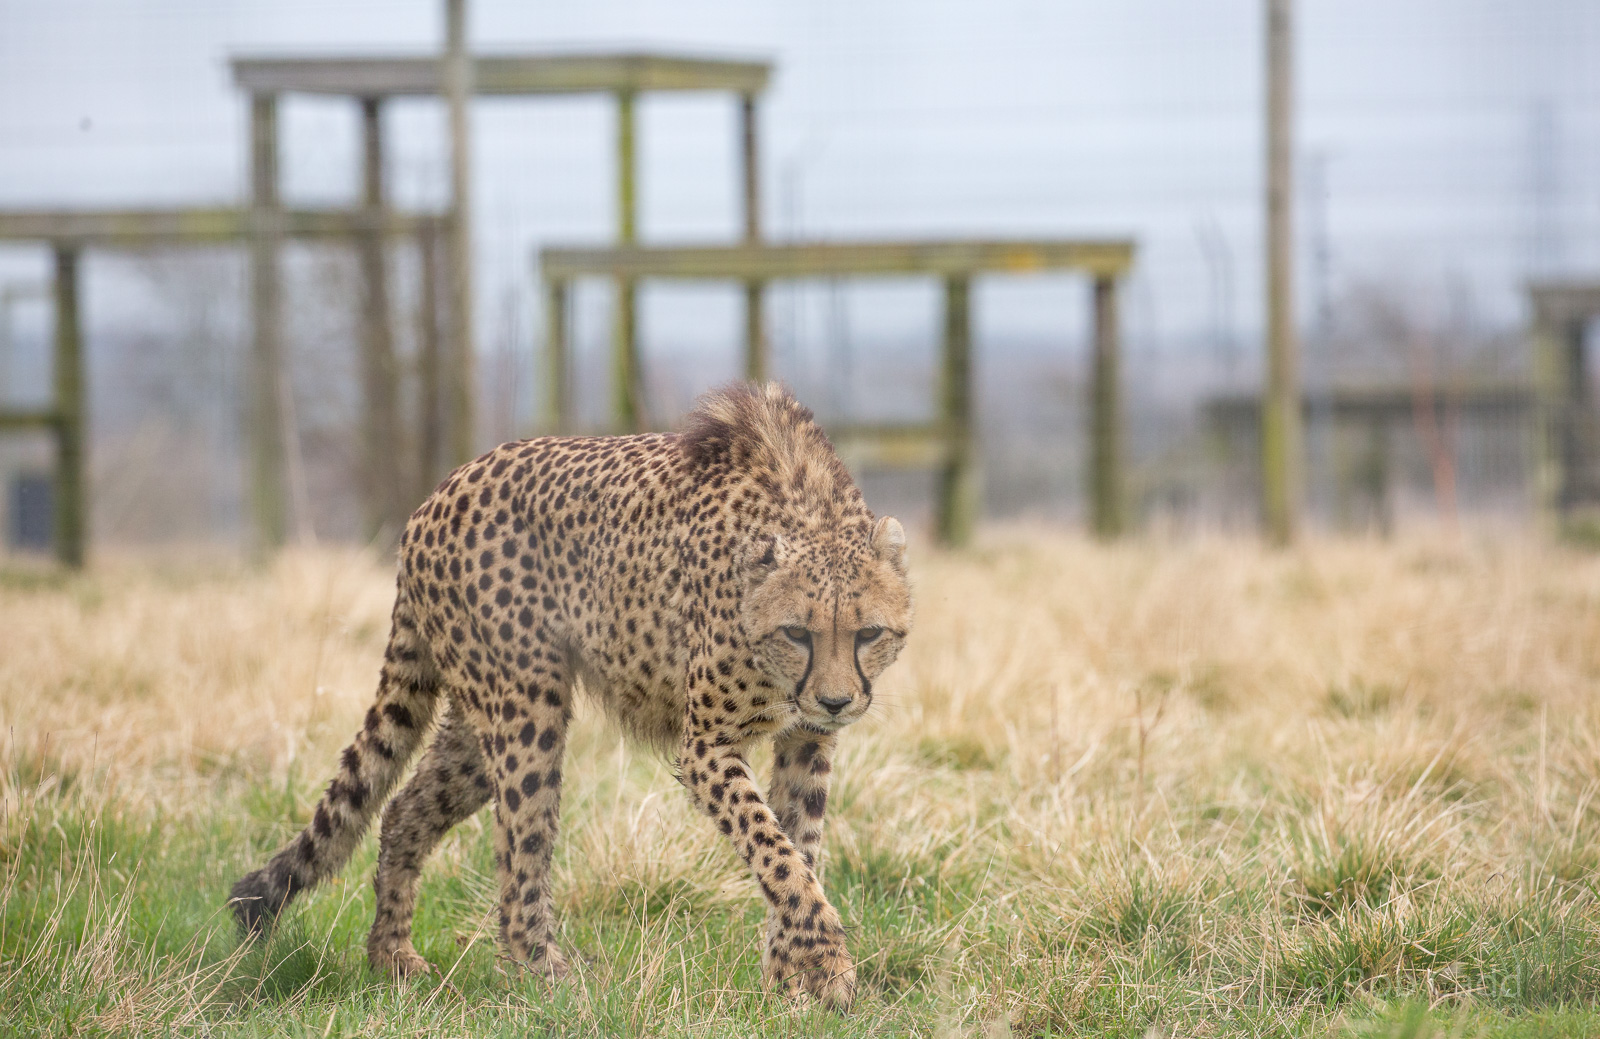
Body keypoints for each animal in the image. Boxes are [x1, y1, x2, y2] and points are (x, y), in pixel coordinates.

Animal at [229, 381, 914, 1011]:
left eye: (868, 634)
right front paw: (825, 959)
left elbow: (800, 845)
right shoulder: (707, 747)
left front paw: (791, 978)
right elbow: (775, 851)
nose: (835, 702)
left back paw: (392, 957)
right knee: (519, 855)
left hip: (479, 729)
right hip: (527, 707)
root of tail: (436, 496)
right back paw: (548, 975)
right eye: (798, 632)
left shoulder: (806, 742)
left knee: (402, 810)